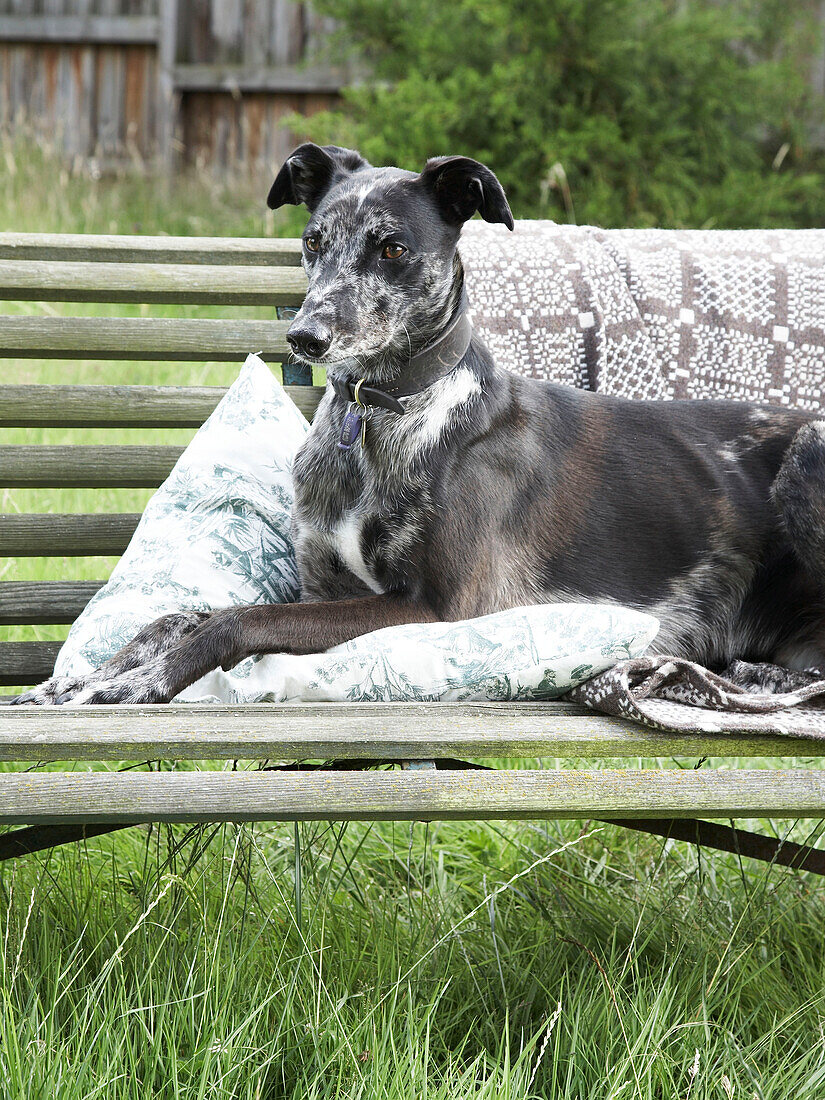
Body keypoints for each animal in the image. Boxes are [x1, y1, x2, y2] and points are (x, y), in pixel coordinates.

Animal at [12, 141, 825, 704]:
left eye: (393, 247)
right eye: (313, 241)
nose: (305, 338)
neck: (382, 418)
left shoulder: (434, 609)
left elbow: (233, 620)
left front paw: (138, 682)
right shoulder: (323, 591)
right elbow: (177, 615)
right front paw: (83, 676)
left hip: (808, 457)